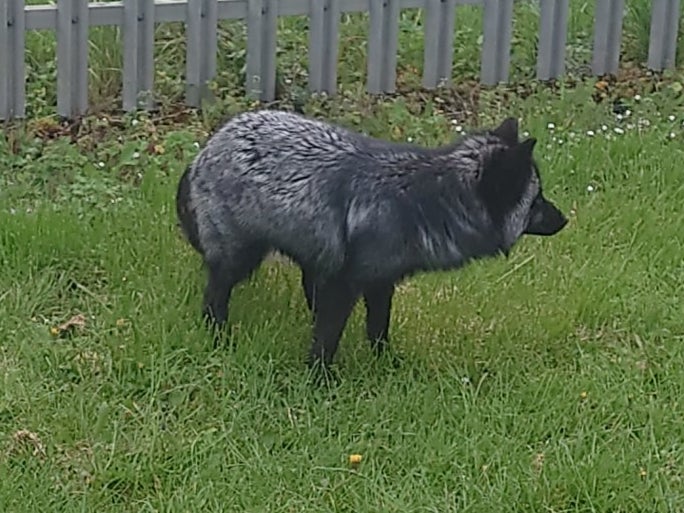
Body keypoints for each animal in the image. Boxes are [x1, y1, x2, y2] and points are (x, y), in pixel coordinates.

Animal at [176, 109, 567, 372]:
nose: (565, 219)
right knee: (213, 297)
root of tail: (207, 147)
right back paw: (219, 338)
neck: (427, 199)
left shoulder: (380, 281)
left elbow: (378, 329)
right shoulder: (345, 283)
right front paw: (319, 380)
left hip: (310, 252)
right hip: (241, 258)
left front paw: (387, 364)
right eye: (536, 200)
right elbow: (327, 338)